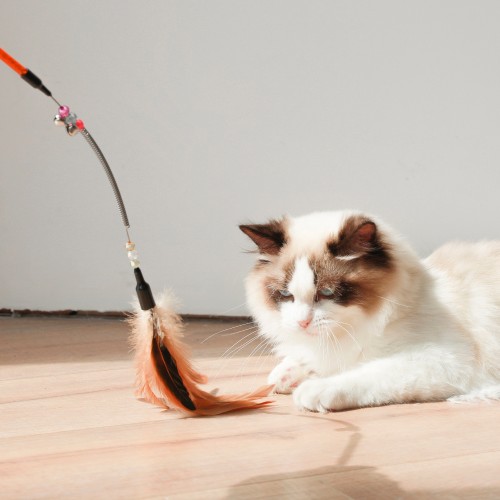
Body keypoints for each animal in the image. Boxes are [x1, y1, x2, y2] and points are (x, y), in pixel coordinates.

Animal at [238, 210, 500, 410]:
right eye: (285, 295)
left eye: (327, 293)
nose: (303, 322)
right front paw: (285, 375)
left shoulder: (440, 360)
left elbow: (364, 373)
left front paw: (313, 389)